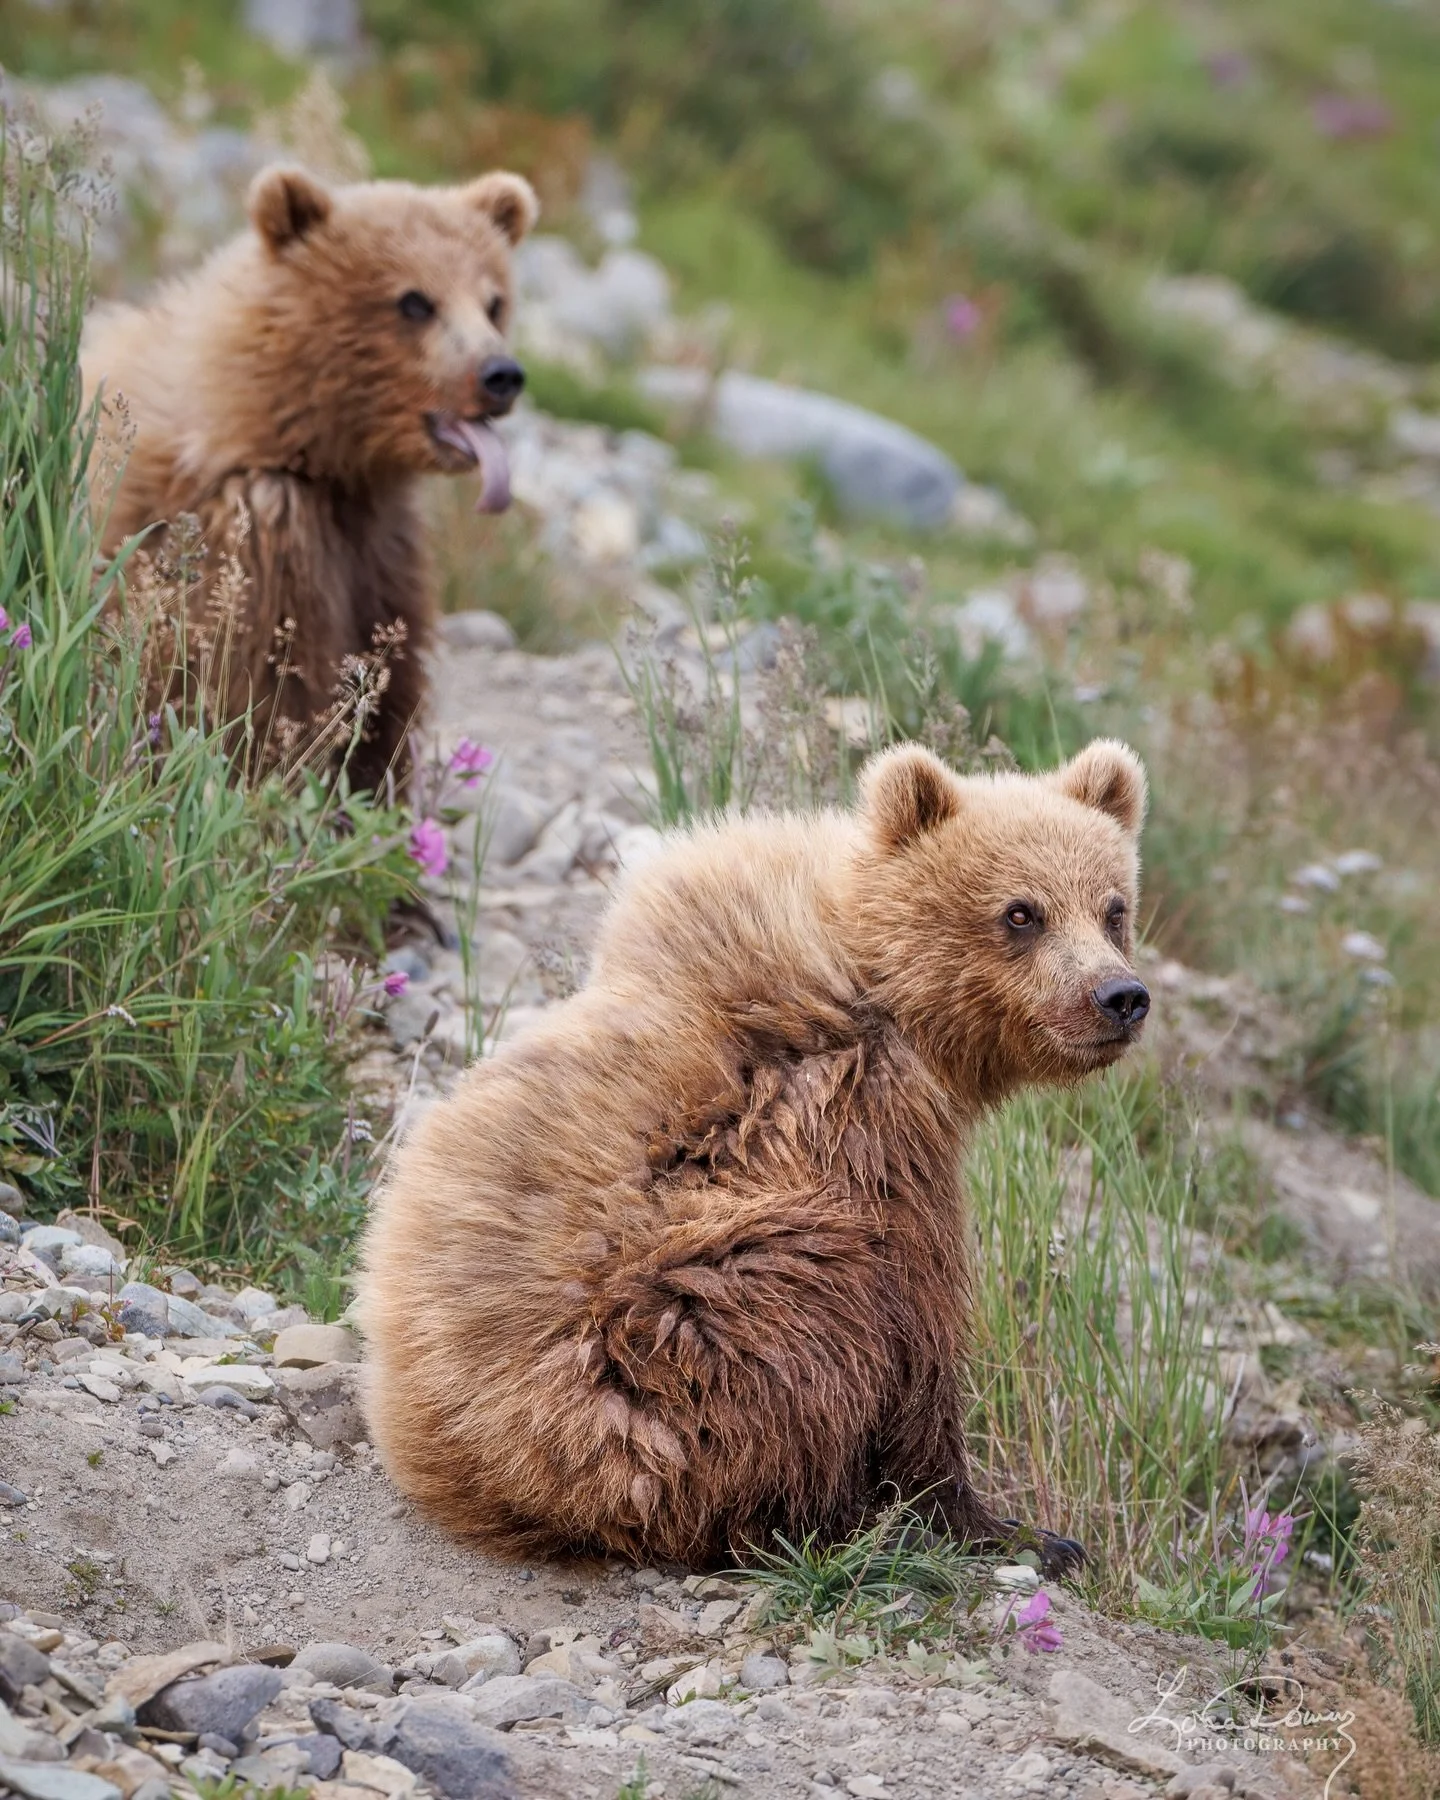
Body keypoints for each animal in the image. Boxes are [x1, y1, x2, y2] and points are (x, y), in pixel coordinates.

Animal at [82, 163, 538, 792]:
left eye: (494, 303)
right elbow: (259, 695)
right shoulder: (251, 542)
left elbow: (387, 686)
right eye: (414, 301)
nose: (500, 375)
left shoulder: (379, 548)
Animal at [359, 738, 1151, 1571]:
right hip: (651, 1346)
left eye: (1113, 908)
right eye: (1020, 912)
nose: (1119, 996)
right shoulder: (867, 1127)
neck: (884, 996)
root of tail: (453, 1460)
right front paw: (1004, 1525)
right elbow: (917, 1318)